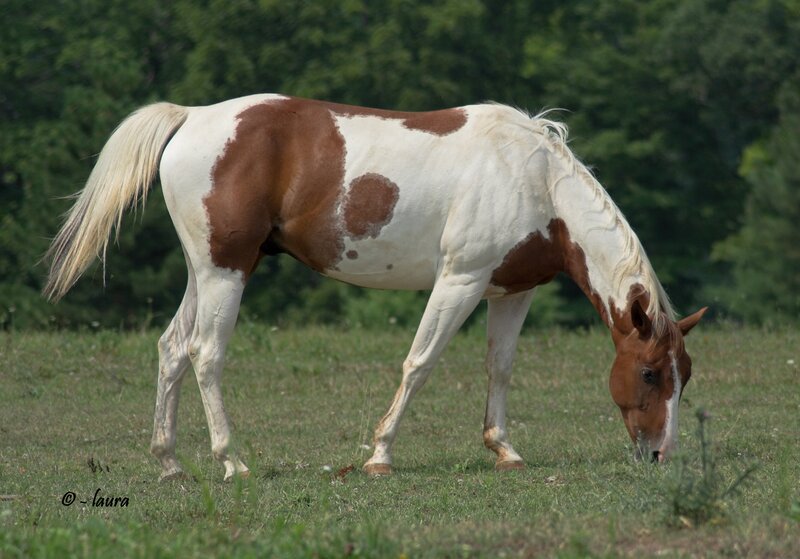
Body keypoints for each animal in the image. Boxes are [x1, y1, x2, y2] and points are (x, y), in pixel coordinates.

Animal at [44, 94, 707, 481]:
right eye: (650, 373)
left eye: (685, 377)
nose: (660, 455)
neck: (533, 179)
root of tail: (194, 117)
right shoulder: (459, 280)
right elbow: (420, 362)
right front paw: (380, 455)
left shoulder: (511, 292)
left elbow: (499, 369)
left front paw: (504, 449)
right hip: (223, 274)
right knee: (205, 356)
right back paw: (231, 461)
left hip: (204, 274)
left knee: (171, 352)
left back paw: (170, 462)